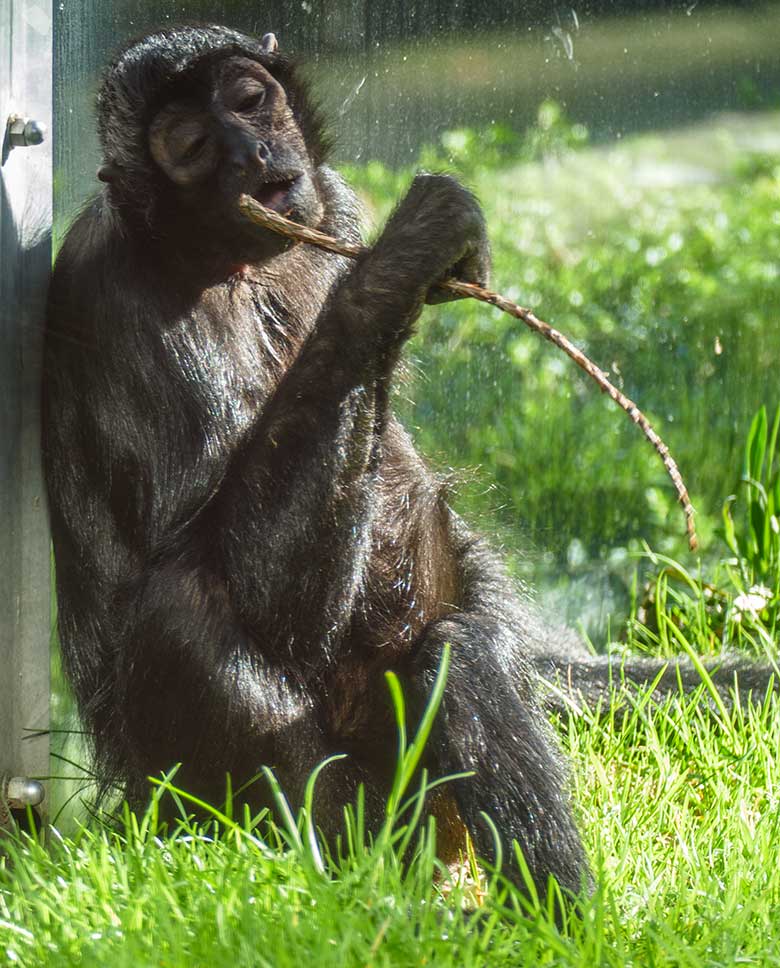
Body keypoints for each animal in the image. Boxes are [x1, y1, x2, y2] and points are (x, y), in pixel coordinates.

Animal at [41, 24, 772, 900]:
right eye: (188, 146)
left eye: (248, 101)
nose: (252, 154)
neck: (229, 259)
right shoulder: (117, 293)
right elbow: (245, 587)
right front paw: (390, 271)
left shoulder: (332, 196)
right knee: (187, 608)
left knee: (464, 650)